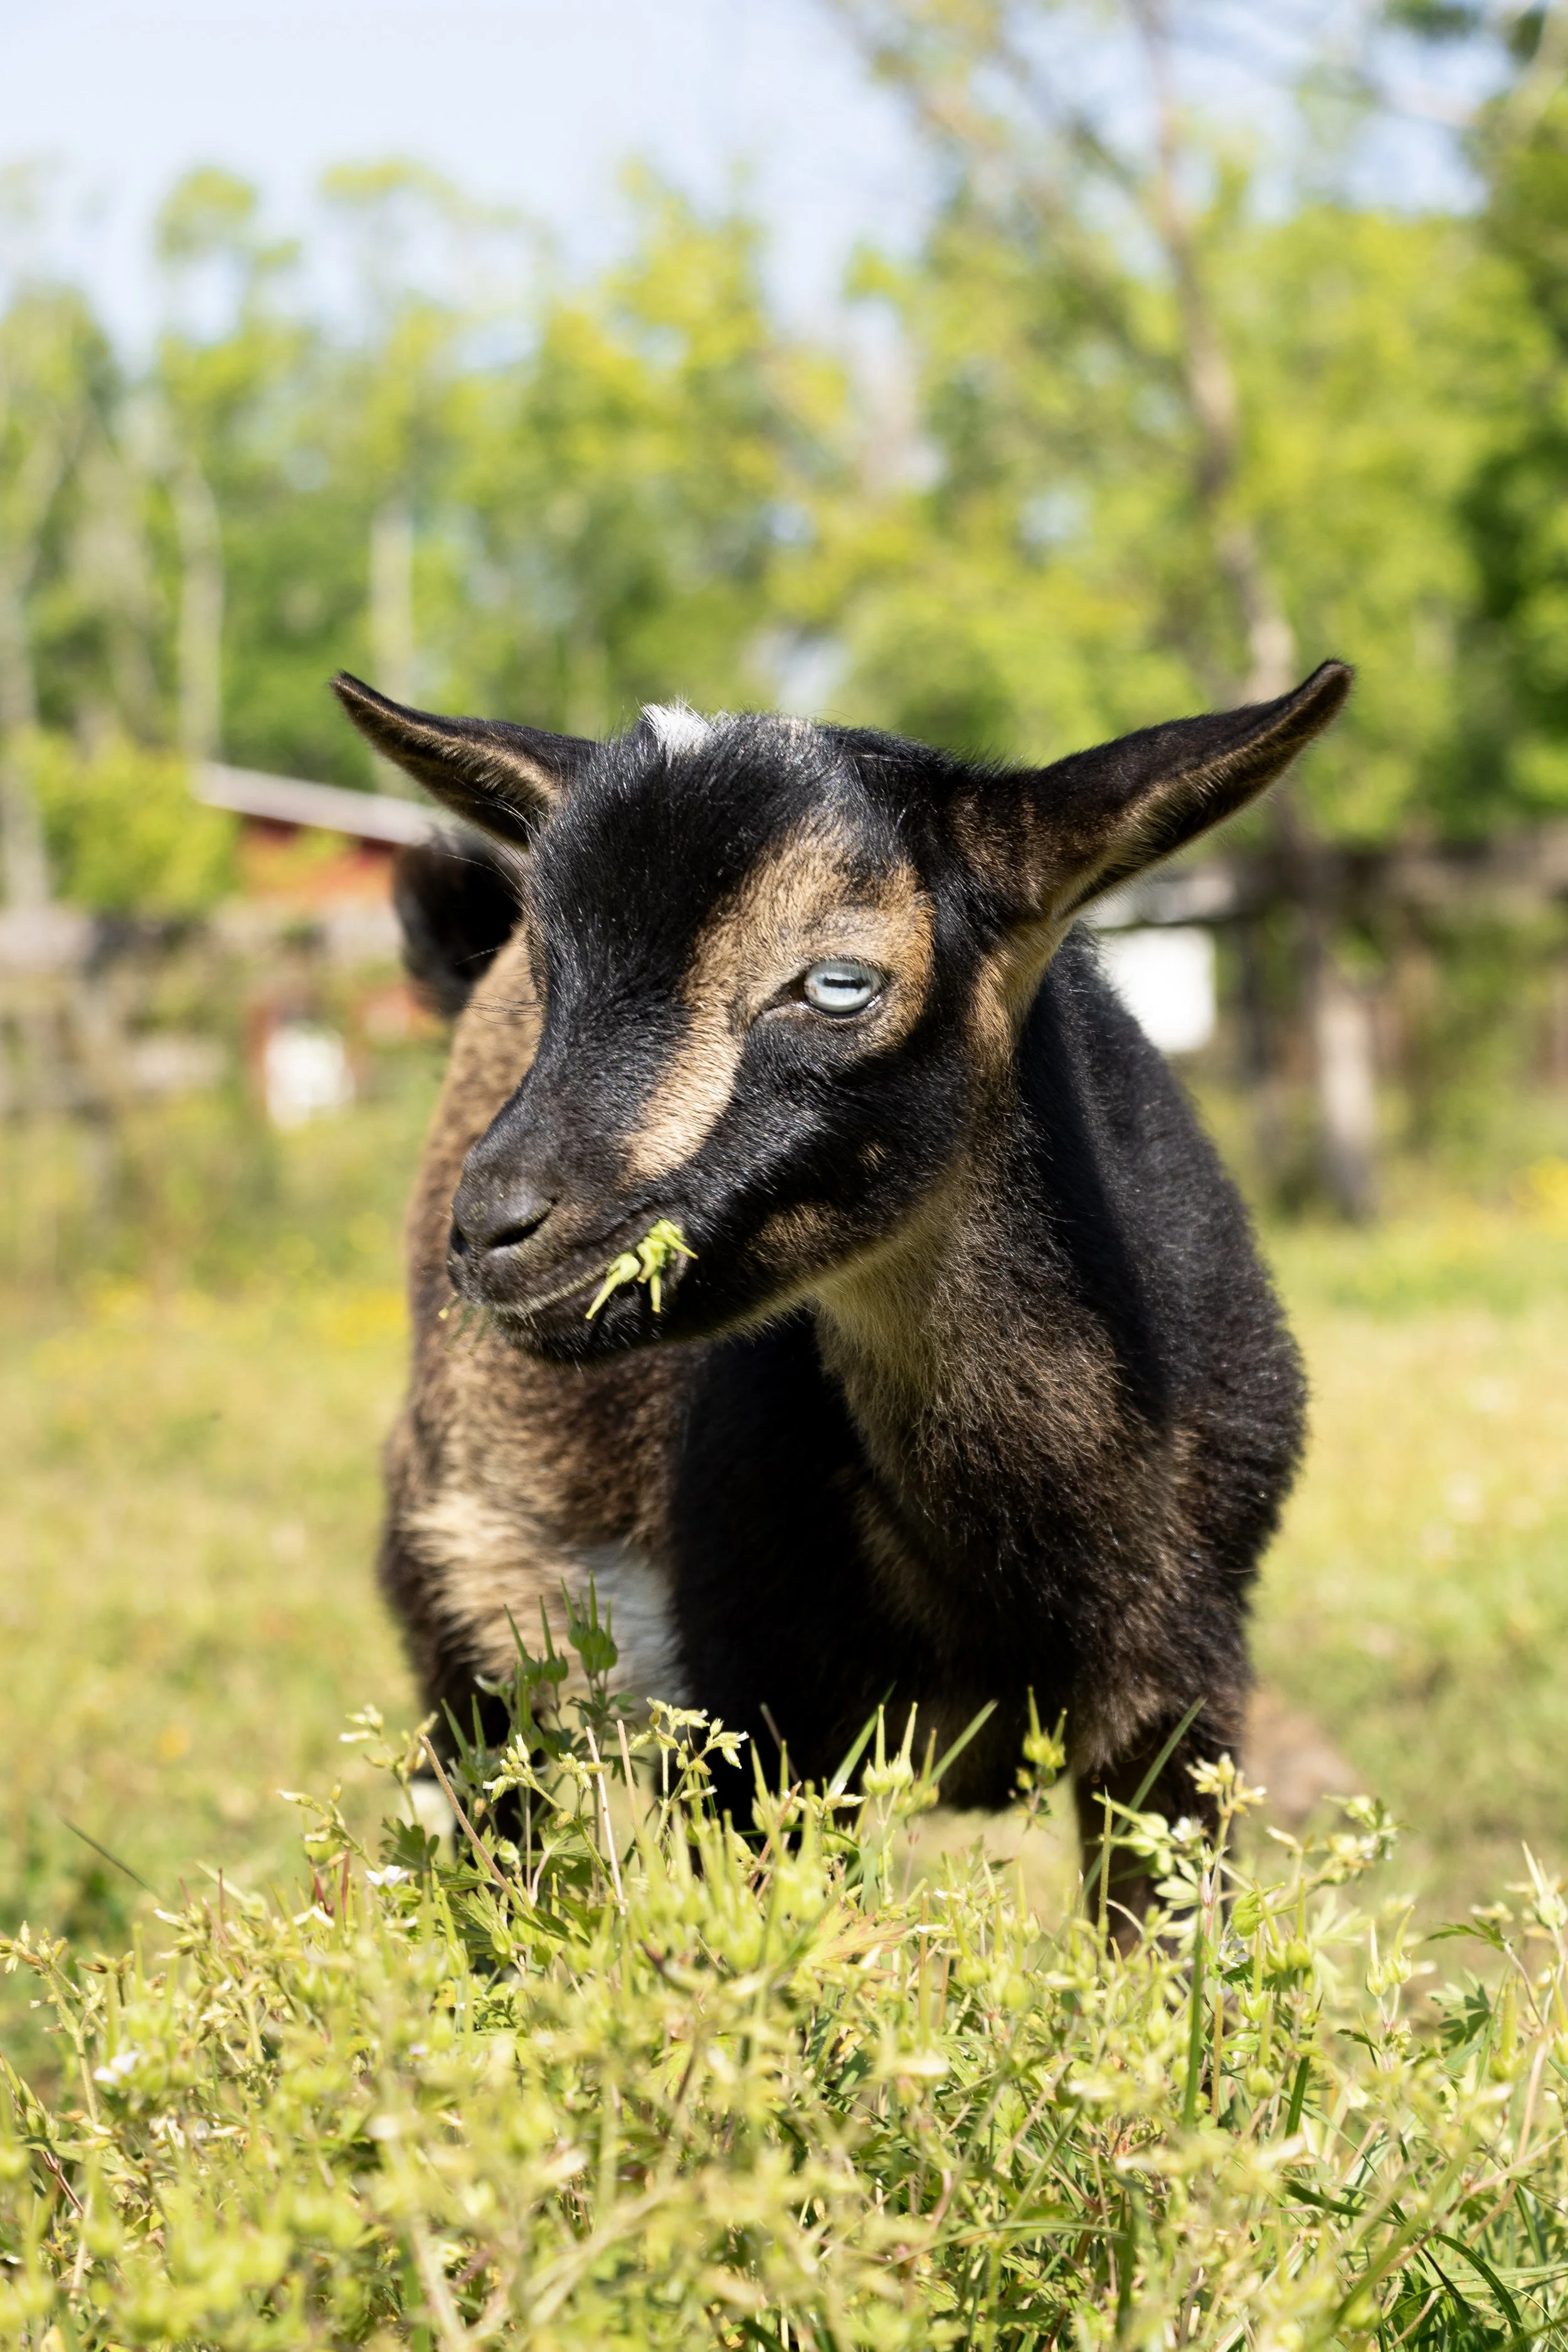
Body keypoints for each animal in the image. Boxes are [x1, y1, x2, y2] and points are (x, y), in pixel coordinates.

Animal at [335, 663, 1349, 1914]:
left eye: (837, 983)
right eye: (549, 974)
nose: (492, 1228)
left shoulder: (1184, 1682)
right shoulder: (753, 1701)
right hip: (455, 1570)